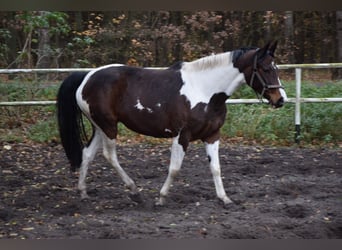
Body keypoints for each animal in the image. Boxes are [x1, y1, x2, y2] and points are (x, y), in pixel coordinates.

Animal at [57, 40, 288, 205]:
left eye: (276, 68)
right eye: (266, 69)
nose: (281, 100)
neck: (206, 90)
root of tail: (87, 76)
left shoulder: (212, 136)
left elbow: (216, 168)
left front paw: (224, 199)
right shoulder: (181, 136)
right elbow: (175, 169)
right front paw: (161, 198)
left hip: (100, 127)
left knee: (87, 154)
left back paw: (83, 193)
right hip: (109, 127)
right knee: (109, 156)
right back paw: (134, 191)